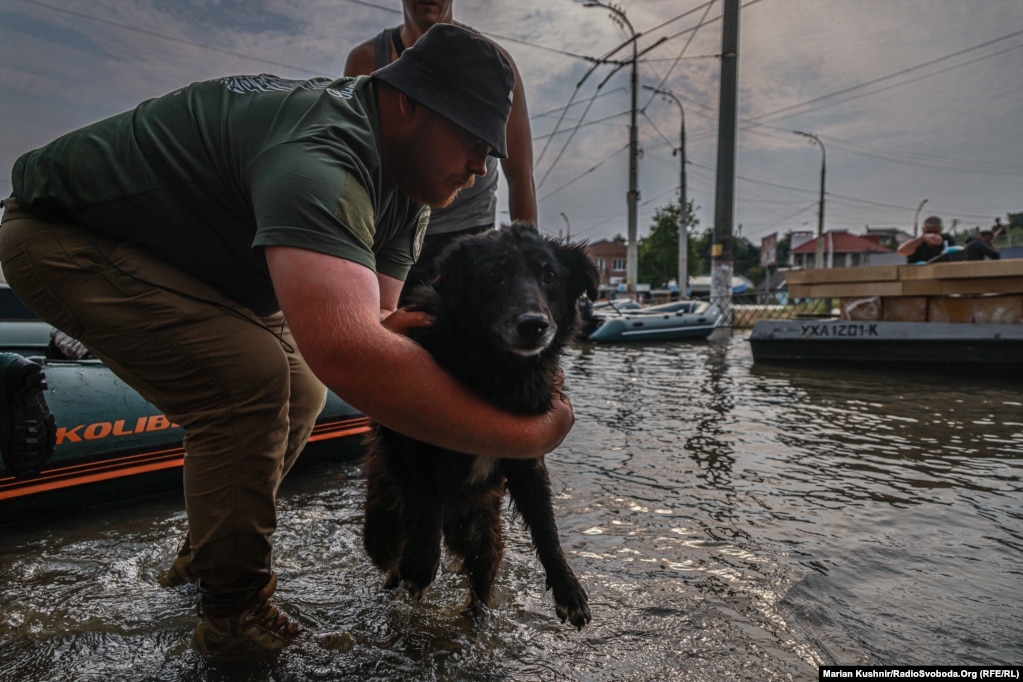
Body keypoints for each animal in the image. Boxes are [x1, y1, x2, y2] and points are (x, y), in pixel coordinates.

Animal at [362, 222, 597, 629]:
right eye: (495, 276)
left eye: (550, 276)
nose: (533, 325)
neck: (497, 371)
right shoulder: (410, 424)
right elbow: (425, 495)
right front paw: (421, 564)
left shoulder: (527, 451)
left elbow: (546, 525)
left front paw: (568, 588)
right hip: (382, 524)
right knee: (390, 560)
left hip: (484, 536)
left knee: (479, 587)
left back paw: (476, 622)